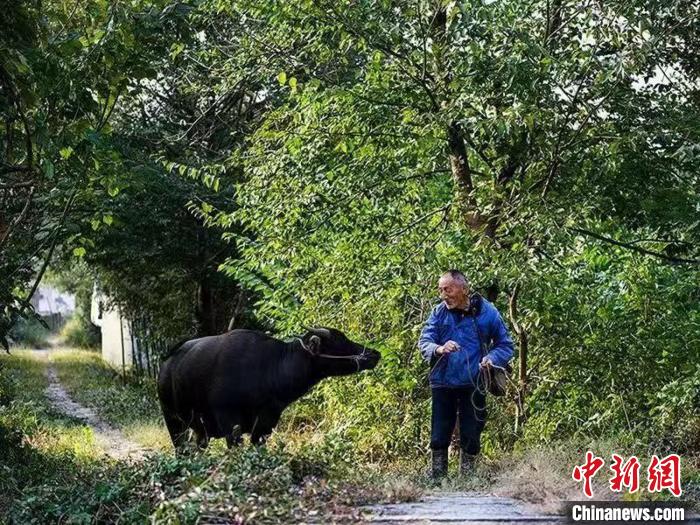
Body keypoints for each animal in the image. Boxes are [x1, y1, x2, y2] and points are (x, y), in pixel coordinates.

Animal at [157, 326, 380, 448]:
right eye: (339, 340)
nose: (374, 353)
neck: (267, 369)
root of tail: (166, 364)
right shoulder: (229, 423)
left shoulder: (266, 423)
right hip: (173, 421)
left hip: (199, 431)